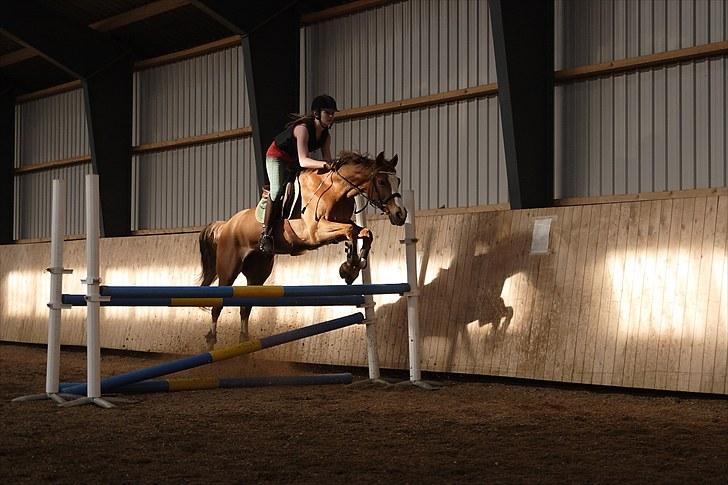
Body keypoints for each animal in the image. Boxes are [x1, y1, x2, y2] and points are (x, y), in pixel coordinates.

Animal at [197, 150, 407, 349]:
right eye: (381, 181)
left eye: (397, 181)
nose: (401, 215)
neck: (335, 190)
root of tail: (226, 225)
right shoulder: (316, 232)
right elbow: (350, 231)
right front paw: (349, 267)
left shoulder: (338, 228)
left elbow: (364, 233)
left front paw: (353, 266)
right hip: (229, 270)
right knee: (218, 305)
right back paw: (211, 339)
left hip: (258, 273)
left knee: (245, 308)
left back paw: (244, 343)